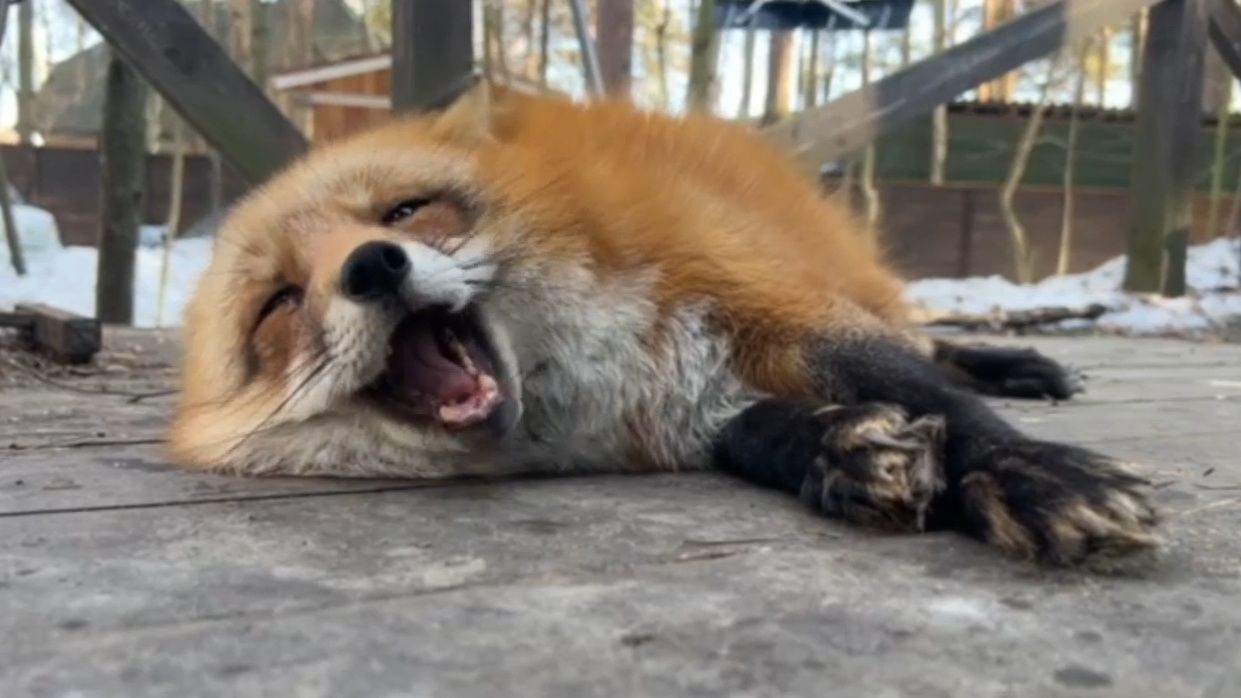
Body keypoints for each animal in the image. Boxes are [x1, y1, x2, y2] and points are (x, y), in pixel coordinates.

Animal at [169, 81, 1159, 566]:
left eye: (405, 211)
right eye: (280, 303)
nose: (372, 266)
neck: (596, 368)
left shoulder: (771, 302)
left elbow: (933, 398)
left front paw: (1033, 477)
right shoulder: (684, 406)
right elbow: (768, 435)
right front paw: (848, 454)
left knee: (927, 342)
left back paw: (1018, 364)